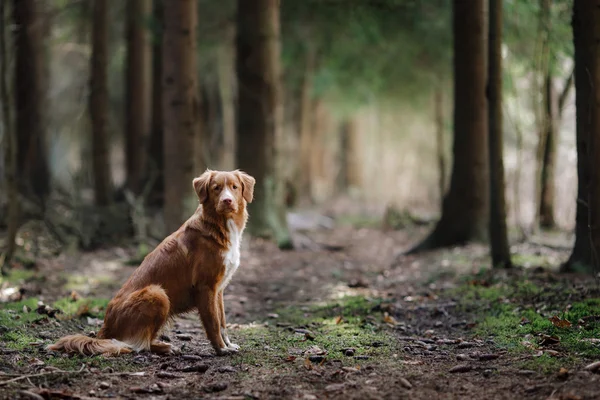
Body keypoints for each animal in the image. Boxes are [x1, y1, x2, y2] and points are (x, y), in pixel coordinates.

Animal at [47, 169, 253, 356]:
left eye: (234, 187)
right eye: (216, 188)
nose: (227, 201)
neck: (218, 225)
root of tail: (105, 328)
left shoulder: (218, 289)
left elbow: (222, 321)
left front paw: (228, 344)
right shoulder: (206, 287)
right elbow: (213, 322)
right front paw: (221, 349)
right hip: (157, 293)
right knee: (138, 344)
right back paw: (165, 347)